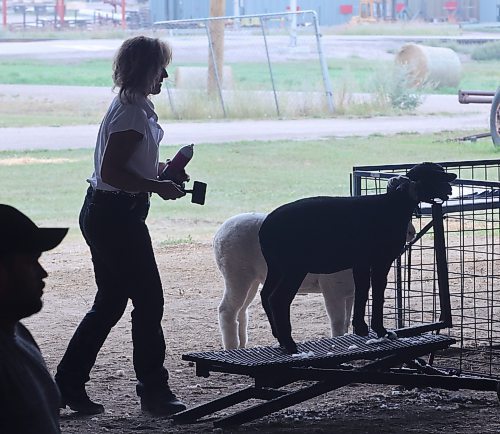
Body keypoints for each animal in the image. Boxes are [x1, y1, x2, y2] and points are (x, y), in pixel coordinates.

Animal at [213, 212, 416, 350]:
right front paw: (337, 339)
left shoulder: (349, 291)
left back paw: (241, 345)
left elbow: (346, 321)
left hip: (252, 278)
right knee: (226, 310)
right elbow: (337, 321)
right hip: (236, 272)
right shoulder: (332, 287)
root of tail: (218, 234)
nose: (411, 232)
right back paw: (231, 346)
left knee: (241, 310)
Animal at [258, 163, 458, 352]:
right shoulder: (381, 260)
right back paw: (289, 343)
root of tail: (265, 228)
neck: (394, 205)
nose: (452, 181)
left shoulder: (360, 262)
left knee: (265, 294)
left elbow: (362, 290)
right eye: (436, 175)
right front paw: (381, 330)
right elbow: (377, 292)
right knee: (277, 299)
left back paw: (279, 338)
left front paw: (361, 327)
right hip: (294, 268)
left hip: (276, 267)